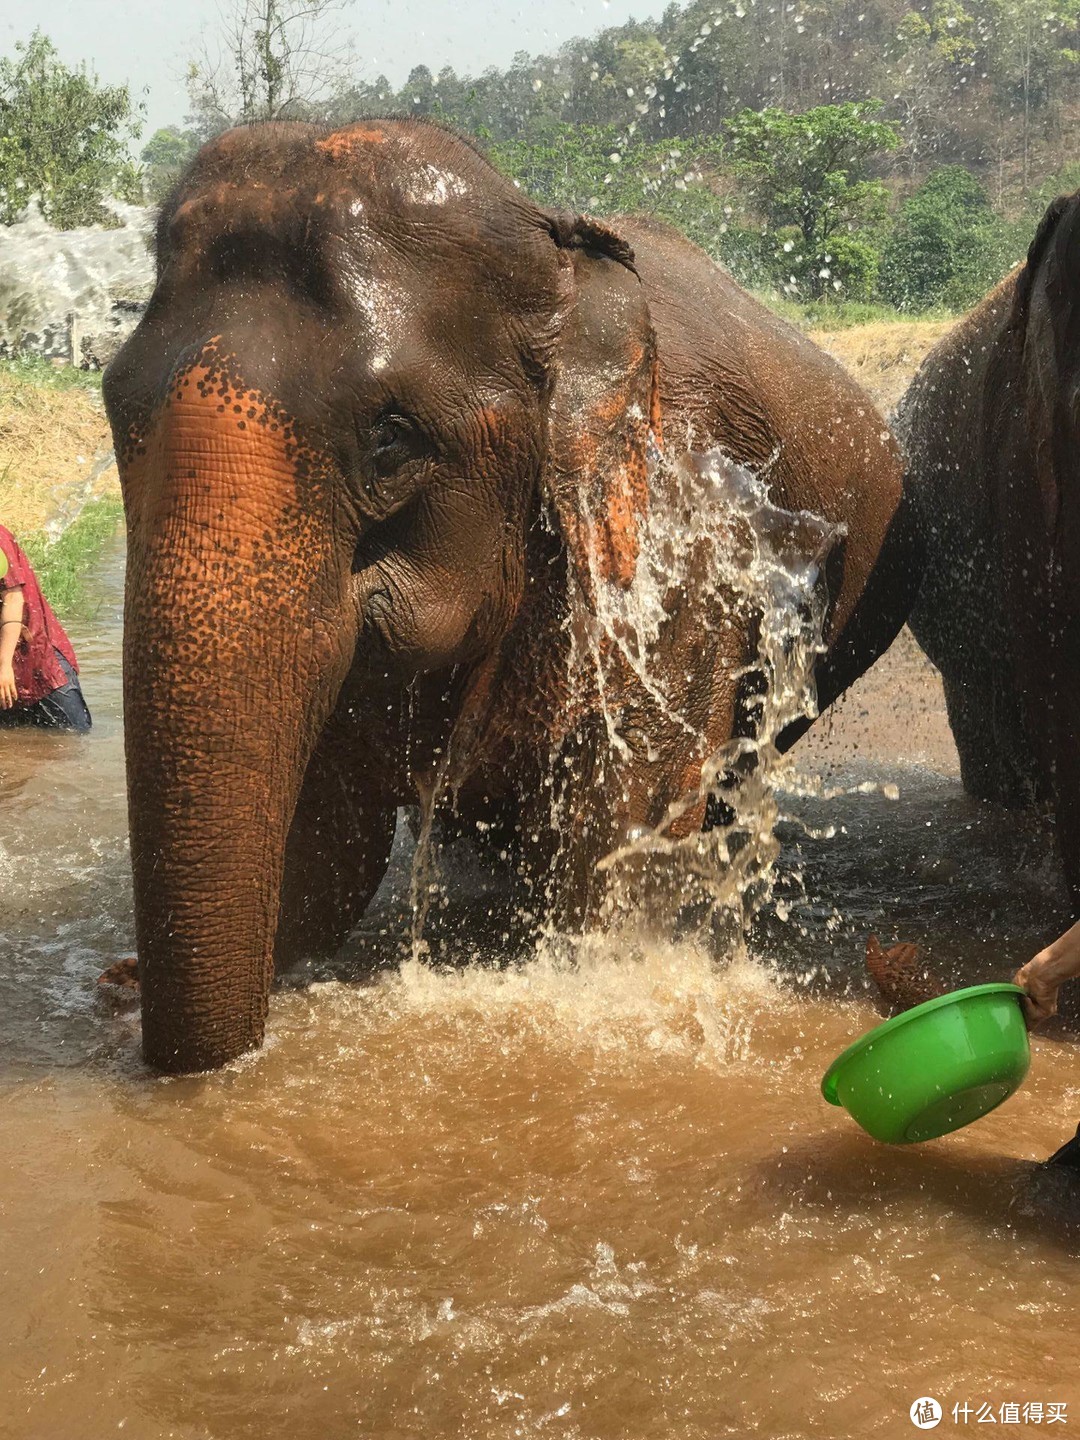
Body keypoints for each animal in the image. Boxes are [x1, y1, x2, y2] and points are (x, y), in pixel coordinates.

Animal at [101, 120, 915, 1071]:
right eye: (116, 412)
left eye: (391, 438)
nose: (119, 981)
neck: (554, 256)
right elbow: (326, 853)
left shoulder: (683, 543)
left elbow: (617, 842)